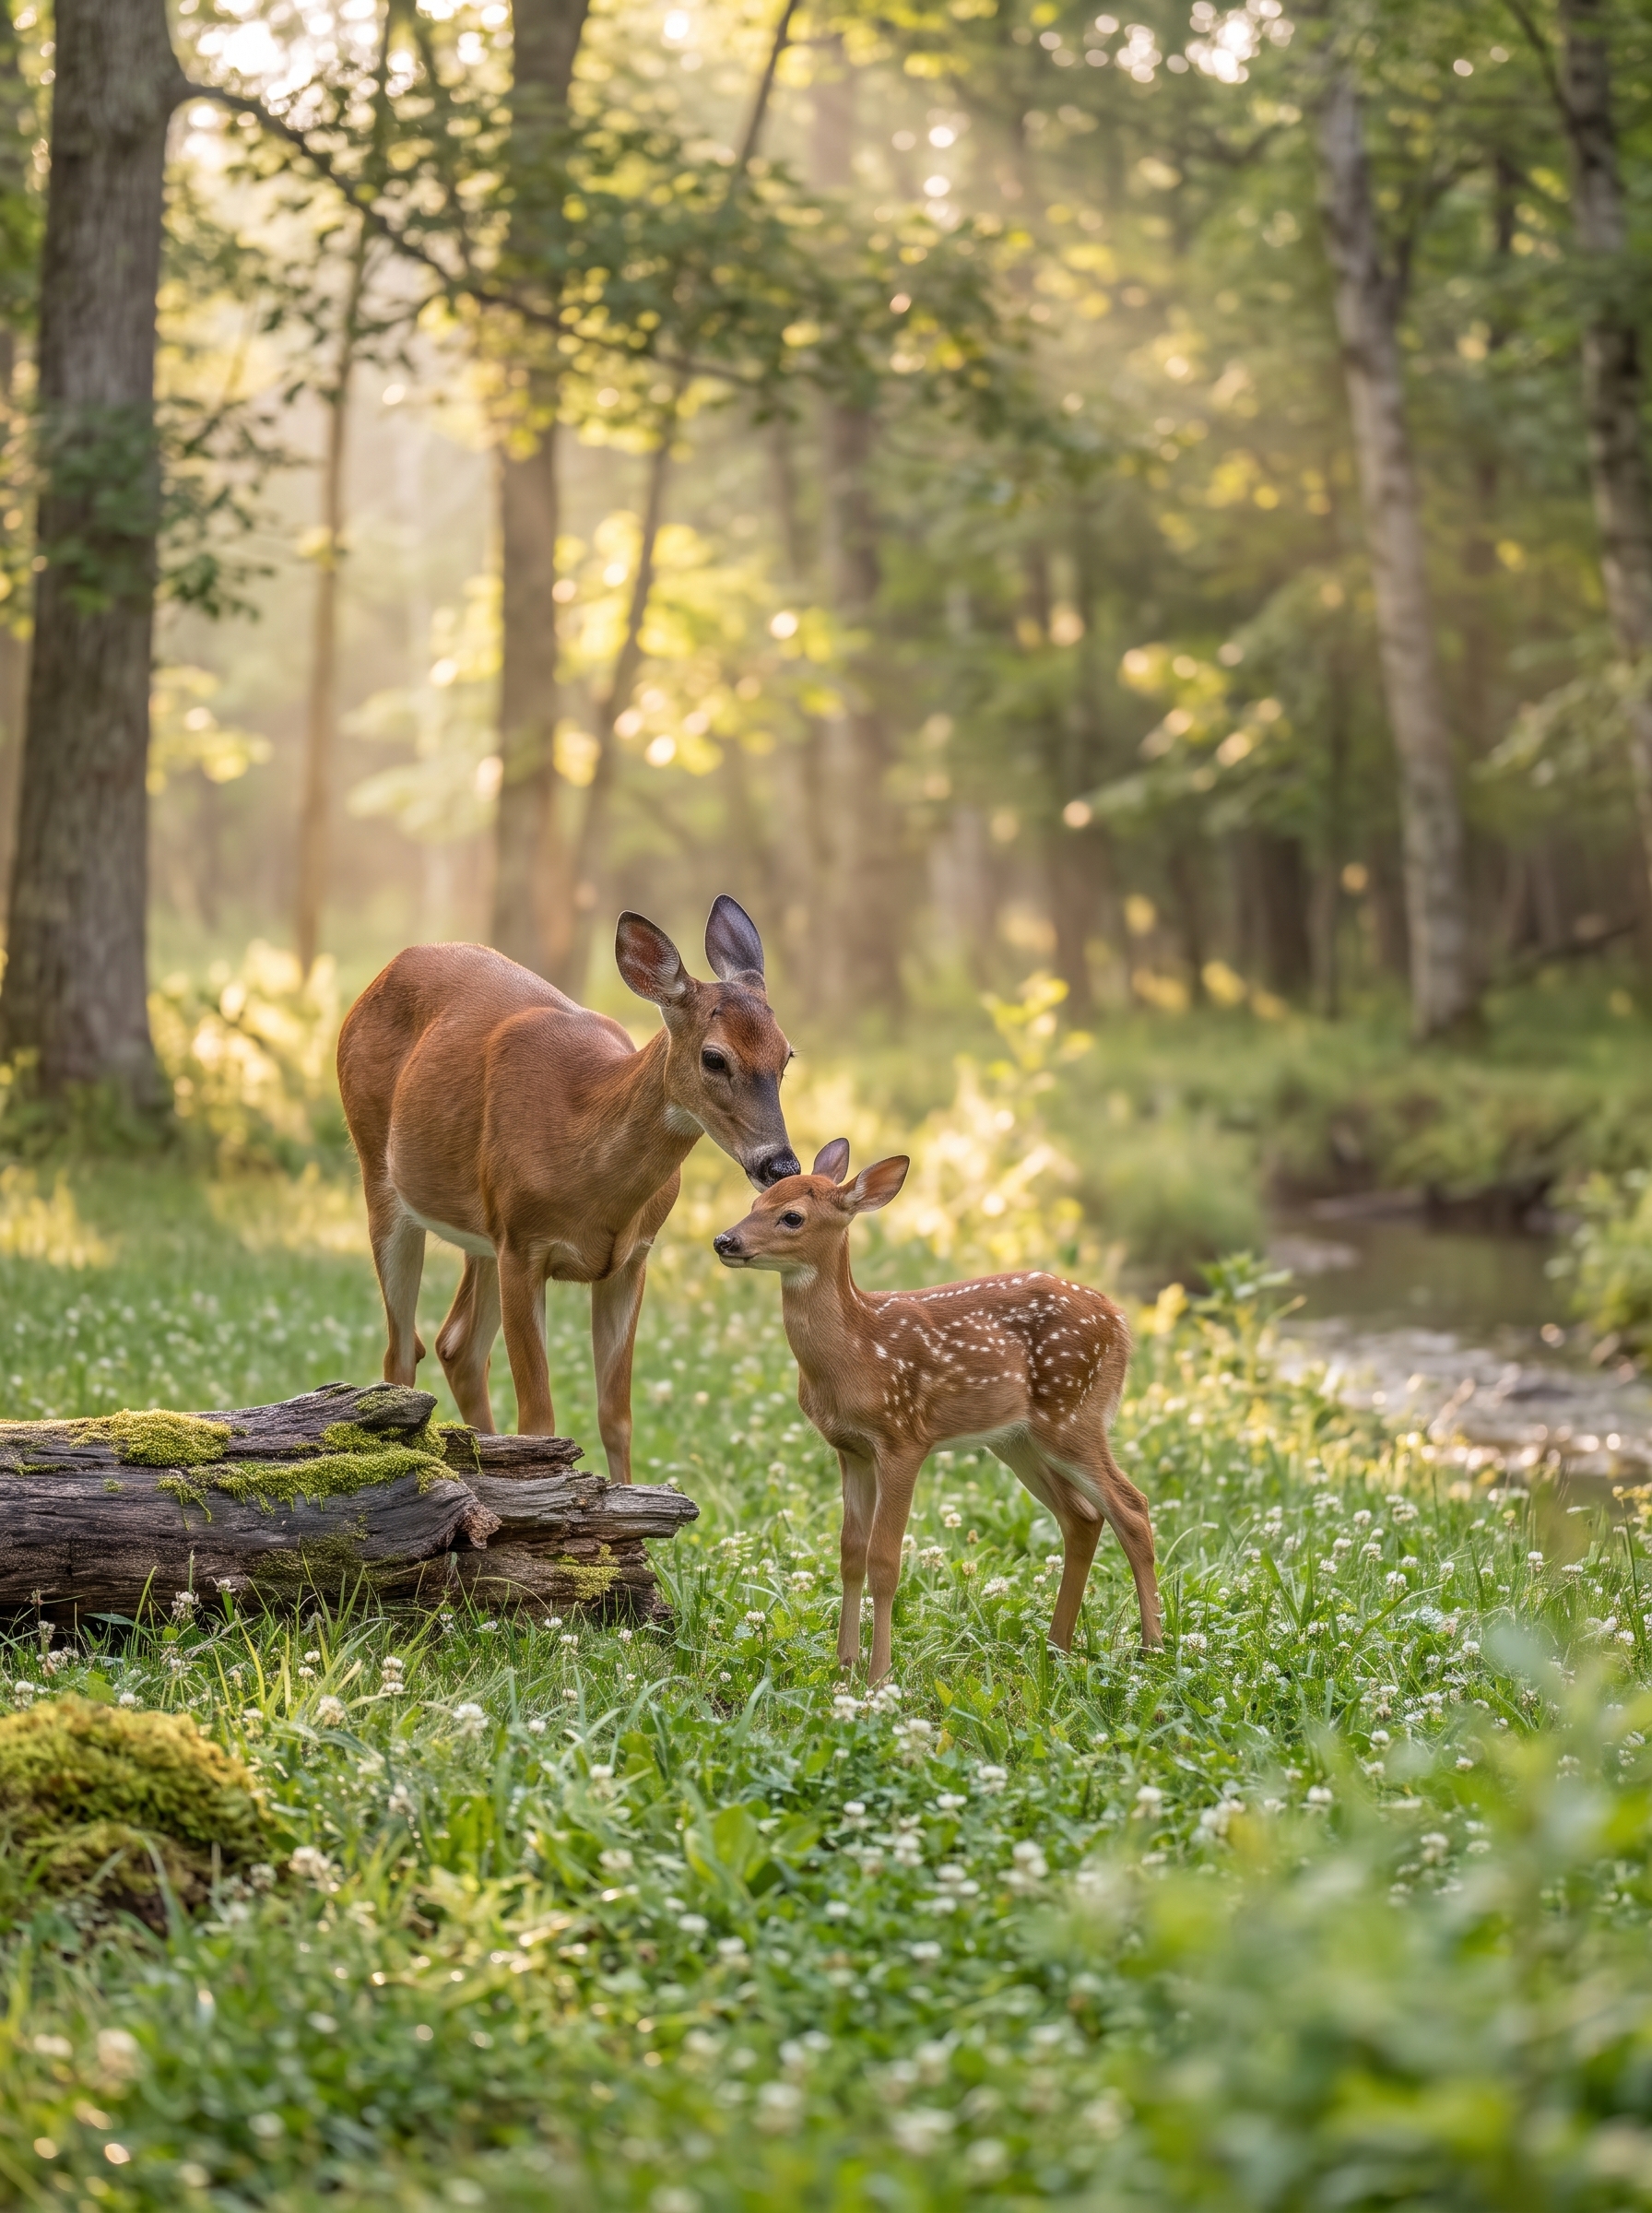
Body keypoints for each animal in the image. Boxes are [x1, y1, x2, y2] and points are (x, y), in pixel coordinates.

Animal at [337, 898, 800, 1475]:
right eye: (714, 1058)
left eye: (787, 1055)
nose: (780, 1164)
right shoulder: (523, 1246)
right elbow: (539, 1420)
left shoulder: (630, 1259)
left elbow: (617, 1419)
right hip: (382, 1179)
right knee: (401, 1354)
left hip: (483, 1235)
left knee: (457, 1347)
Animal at [713, 1143, 1160, 1681]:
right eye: (755, 1203)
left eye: (792, 1216)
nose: (724, 1240)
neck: (856, 1352)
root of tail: (1120, 1321)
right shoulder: (850, 1448)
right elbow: (850, 1553)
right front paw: (844, 1665)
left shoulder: (904, 1437)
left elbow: (885, 1561)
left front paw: (878, 1675)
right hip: (1018, 1440)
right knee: (1083, 1518)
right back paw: (1056, 1647)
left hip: (1073, 1413)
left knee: (1132, 1508)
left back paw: (1154, 1649)